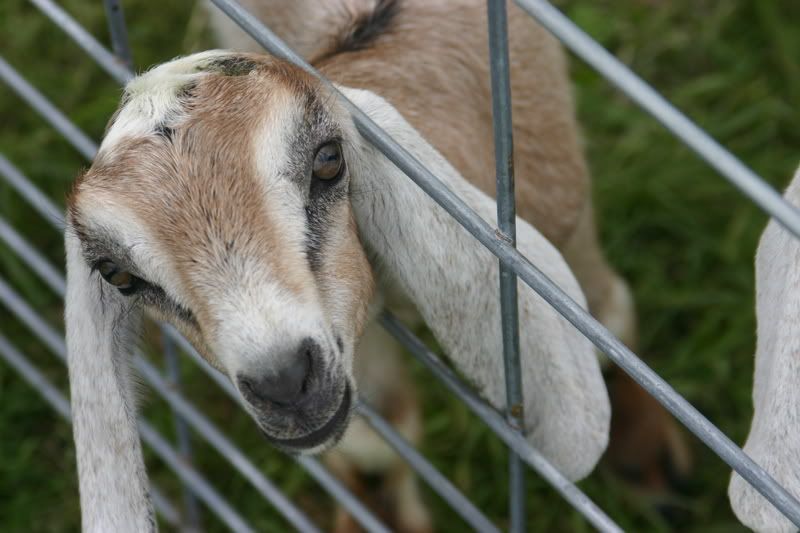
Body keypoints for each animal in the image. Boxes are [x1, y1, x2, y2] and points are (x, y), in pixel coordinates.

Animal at [65, 1, 684, 530]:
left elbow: (606, 319)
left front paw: (648, 463)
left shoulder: (562, 202)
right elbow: (375, 449)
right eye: (120, 276)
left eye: (329, 160)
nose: (283, 382)